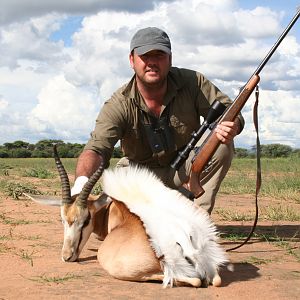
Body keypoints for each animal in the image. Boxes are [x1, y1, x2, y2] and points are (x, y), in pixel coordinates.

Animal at [25, 145, 227, 288]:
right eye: (63, 220)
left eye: (86, 220)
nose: (67, 257)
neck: (111, 209)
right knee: (214, 280)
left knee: (192, 280)